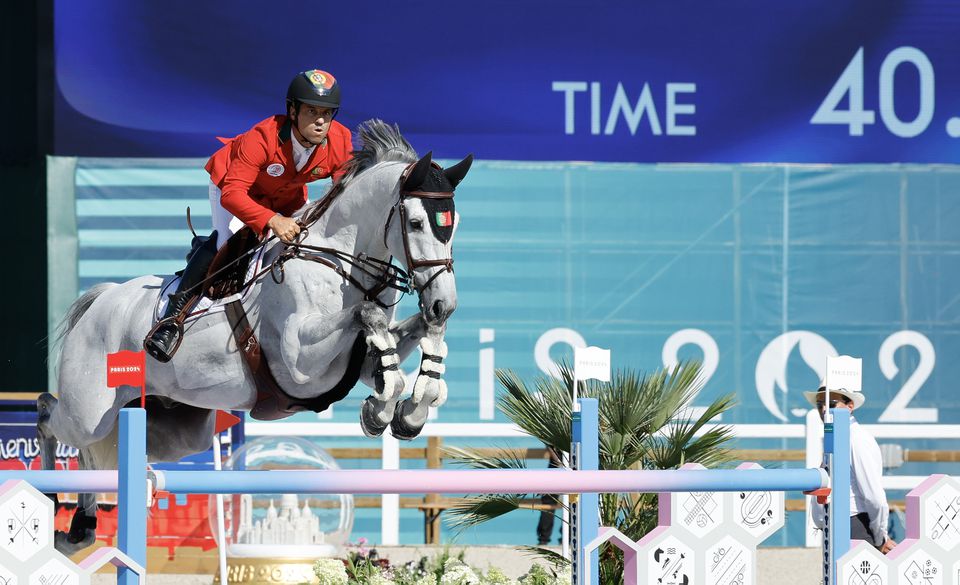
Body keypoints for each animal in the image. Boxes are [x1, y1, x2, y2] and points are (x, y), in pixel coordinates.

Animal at [37, 118, 472, 552]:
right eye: (415, 223)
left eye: (453, 224)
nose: (444, 302)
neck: (338, 261)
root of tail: (101, 299)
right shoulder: (301, 363)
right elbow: (368, 319)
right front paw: (379, 412)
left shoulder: (361, 363)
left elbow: (409, 341)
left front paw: (412, 409)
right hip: (89, 411)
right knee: (50, 416)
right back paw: (55, 501)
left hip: (178, 428)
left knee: (105, 451)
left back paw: (82, 524)